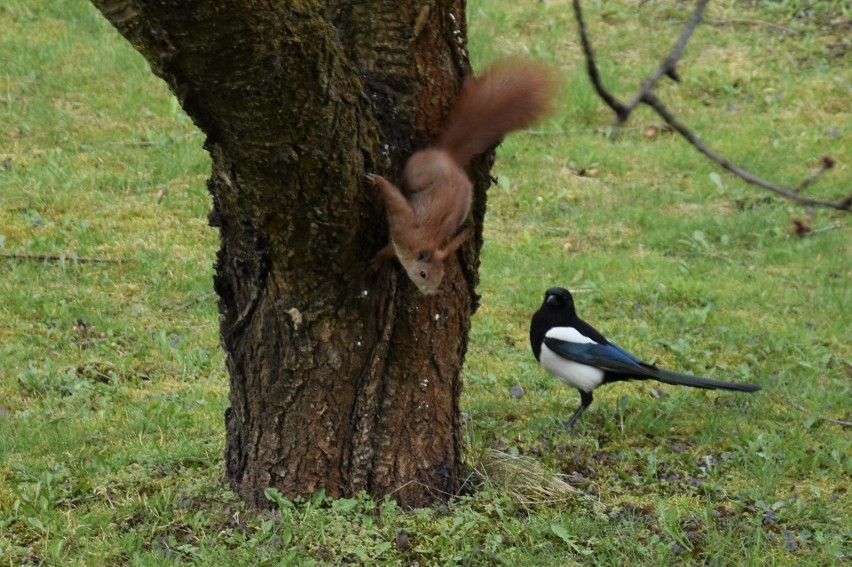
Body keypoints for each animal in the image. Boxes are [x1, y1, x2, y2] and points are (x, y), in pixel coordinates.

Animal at [368, 59, 560, 296]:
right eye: (423, 274)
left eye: (441, 277)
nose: (430, 292)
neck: (425, 242)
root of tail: (448, 156)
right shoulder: (405, 225)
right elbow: (393, 198)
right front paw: (377, 181)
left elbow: (389, 249)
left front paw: (378, 260)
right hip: (418, 174)